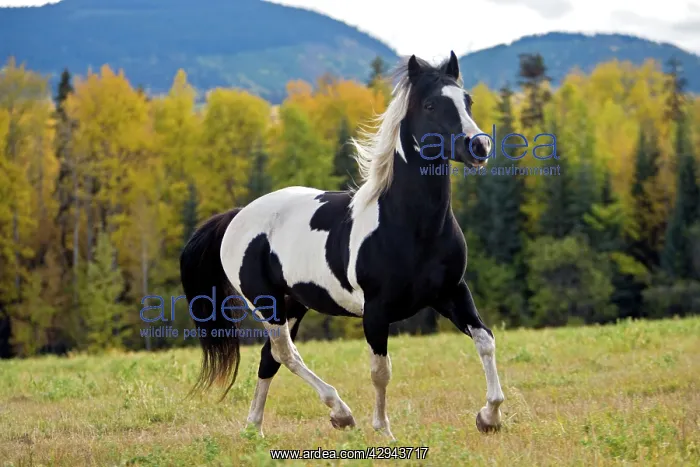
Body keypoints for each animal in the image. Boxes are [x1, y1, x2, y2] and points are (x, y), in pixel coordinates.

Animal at [180, 51, 505, 439]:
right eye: (430, 105)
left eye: (466, 101)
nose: (479, 146)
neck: (410, 227)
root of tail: (237, 216)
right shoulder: (376, 311)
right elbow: (381, 371)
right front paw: (383, 431)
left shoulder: (452, 293)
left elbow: (485, 340)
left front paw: (489, 417)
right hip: (267, 303)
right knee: (286, 353)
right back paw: (340, 413)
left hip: (294, 302)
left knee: (269, 358)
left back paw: (254, 429)